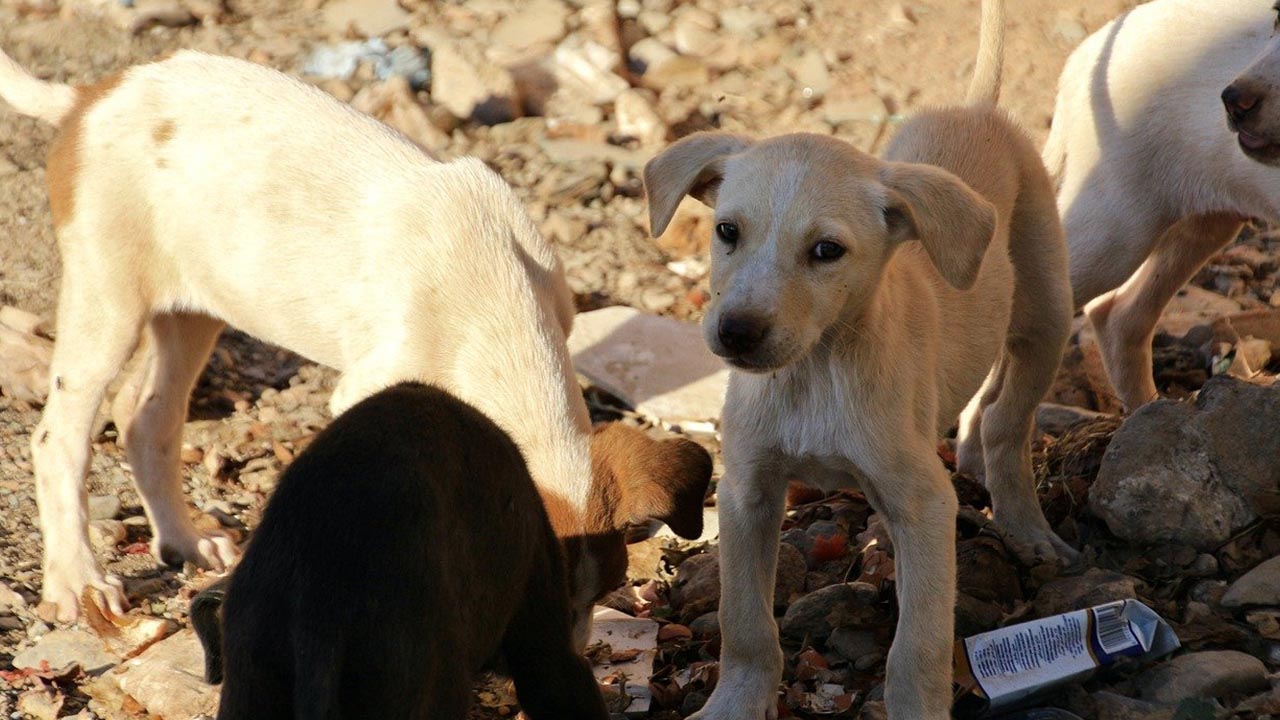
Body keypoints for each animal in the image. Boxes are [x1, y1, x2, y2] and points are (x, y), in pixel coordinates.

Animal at [0, 47, 711, 627]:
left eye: (599, 597)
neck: (495, 308)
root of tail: (90, 97)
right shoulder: (371, 389)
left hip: (193, 308)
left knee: (147, 418)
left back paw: (184, 539)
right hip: (108, 299)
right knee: (58, 438)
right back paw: (76, 580)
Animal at [645, 2, 1075, 712]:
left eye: (826, 251)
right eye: (727, 231)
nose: (736, 333)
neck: (814, 374)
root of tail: (974, 109)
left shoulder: (926, 501)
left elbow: (919, 645)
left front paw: (916, 708)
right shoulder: (746, 491)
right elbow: (744, 622)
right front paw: (735, 702)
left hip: (1047, 316)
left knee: (1007, 426)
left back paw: (1026, 527)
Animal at [1039, 0, 1280, 409]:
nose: (1234, 101)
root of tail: (1082, 58)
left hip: (1197, 222)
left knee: (1117, 315)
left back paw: (1144, 412)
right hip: (1114, 227)